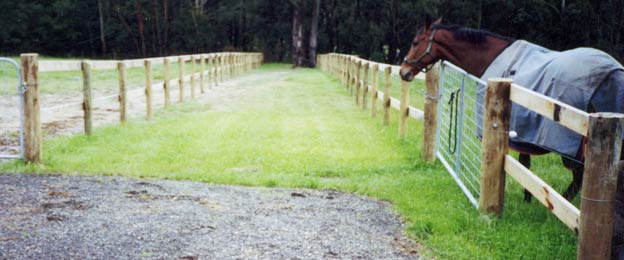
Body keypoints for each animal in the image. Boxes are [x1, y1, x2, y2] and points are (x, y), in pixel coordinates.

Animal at [400, 17, 624, 258]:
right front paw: (527, 200)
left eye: (415, 42)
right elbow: (525, 166)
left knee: (580, 179)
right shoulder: (525, 139)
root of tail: (614, 74)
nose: (404, 71)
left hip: (575, 149)